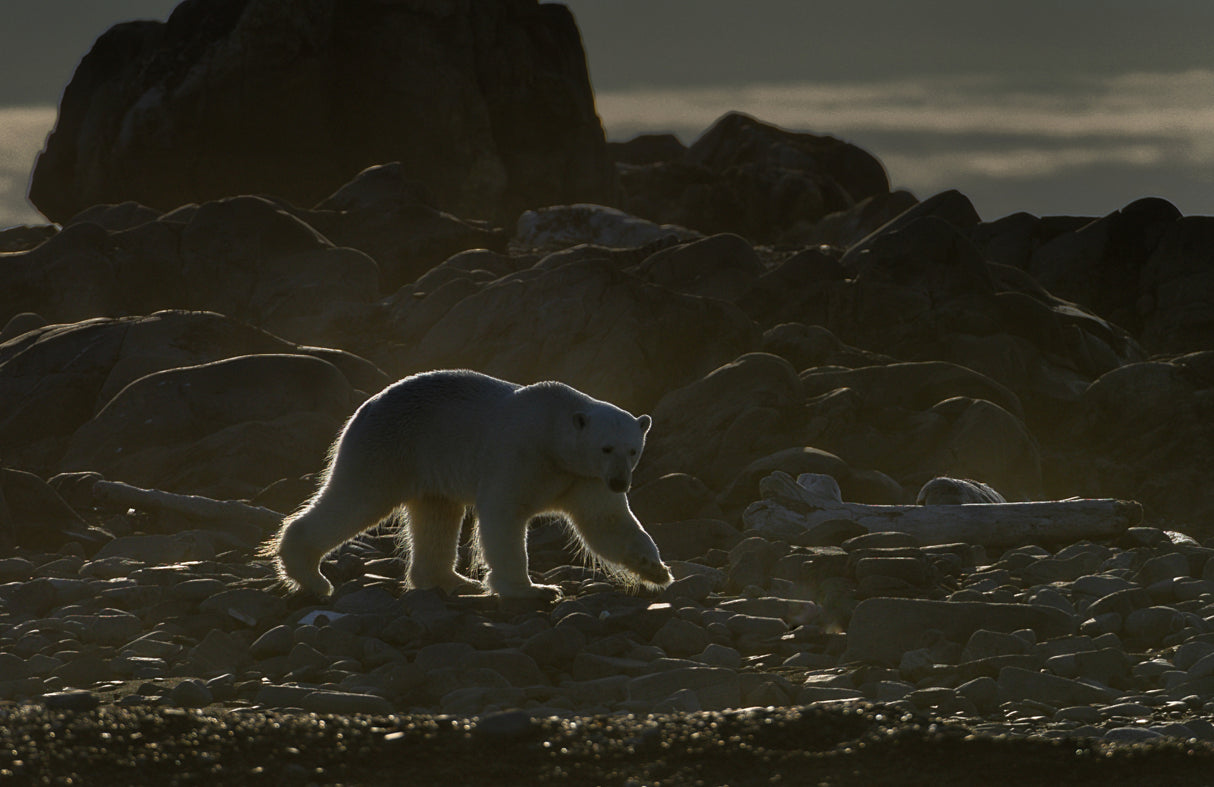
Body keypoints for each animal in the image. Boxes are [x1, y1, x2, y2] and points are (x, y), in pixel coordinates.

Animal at [261, 369, 672, 600]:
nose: (620, 482)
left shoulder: (582, 477)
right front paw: (533, 590)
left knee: (437, 516)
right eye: (606, 447)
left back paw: (453, 580)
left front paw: (656, 569)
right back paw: (311, 578)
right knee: (356, 499)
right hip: (389, 447)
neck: (553, 432)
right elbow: (503, 516)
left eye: (633, 450)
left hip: (427, 465)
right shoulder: (519, 454)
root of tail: (366, 405)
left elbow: (606, 523)